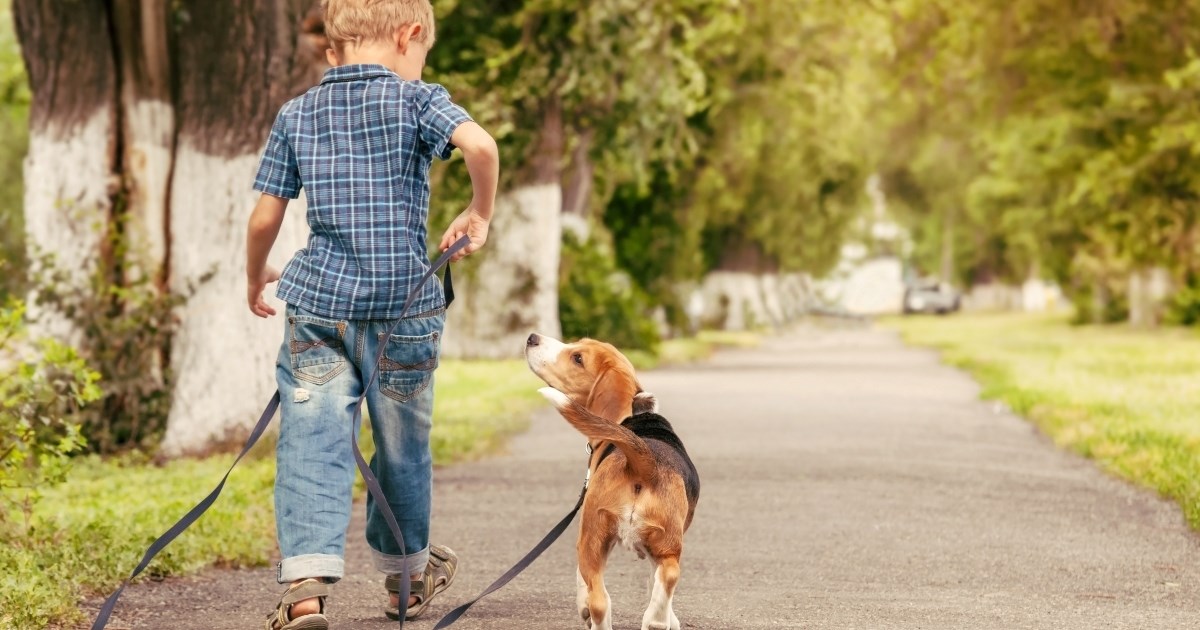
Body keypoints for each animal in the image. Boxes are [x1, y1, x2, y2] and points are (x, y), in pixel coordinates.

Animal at [525, 331, 700, 624]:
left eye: (577, 358)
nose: (532, 337)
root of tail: (645, 462)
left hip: (590, 538)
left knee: (599, 599)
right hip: (666, 545)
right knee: (668, 575)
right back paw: (656, 620)